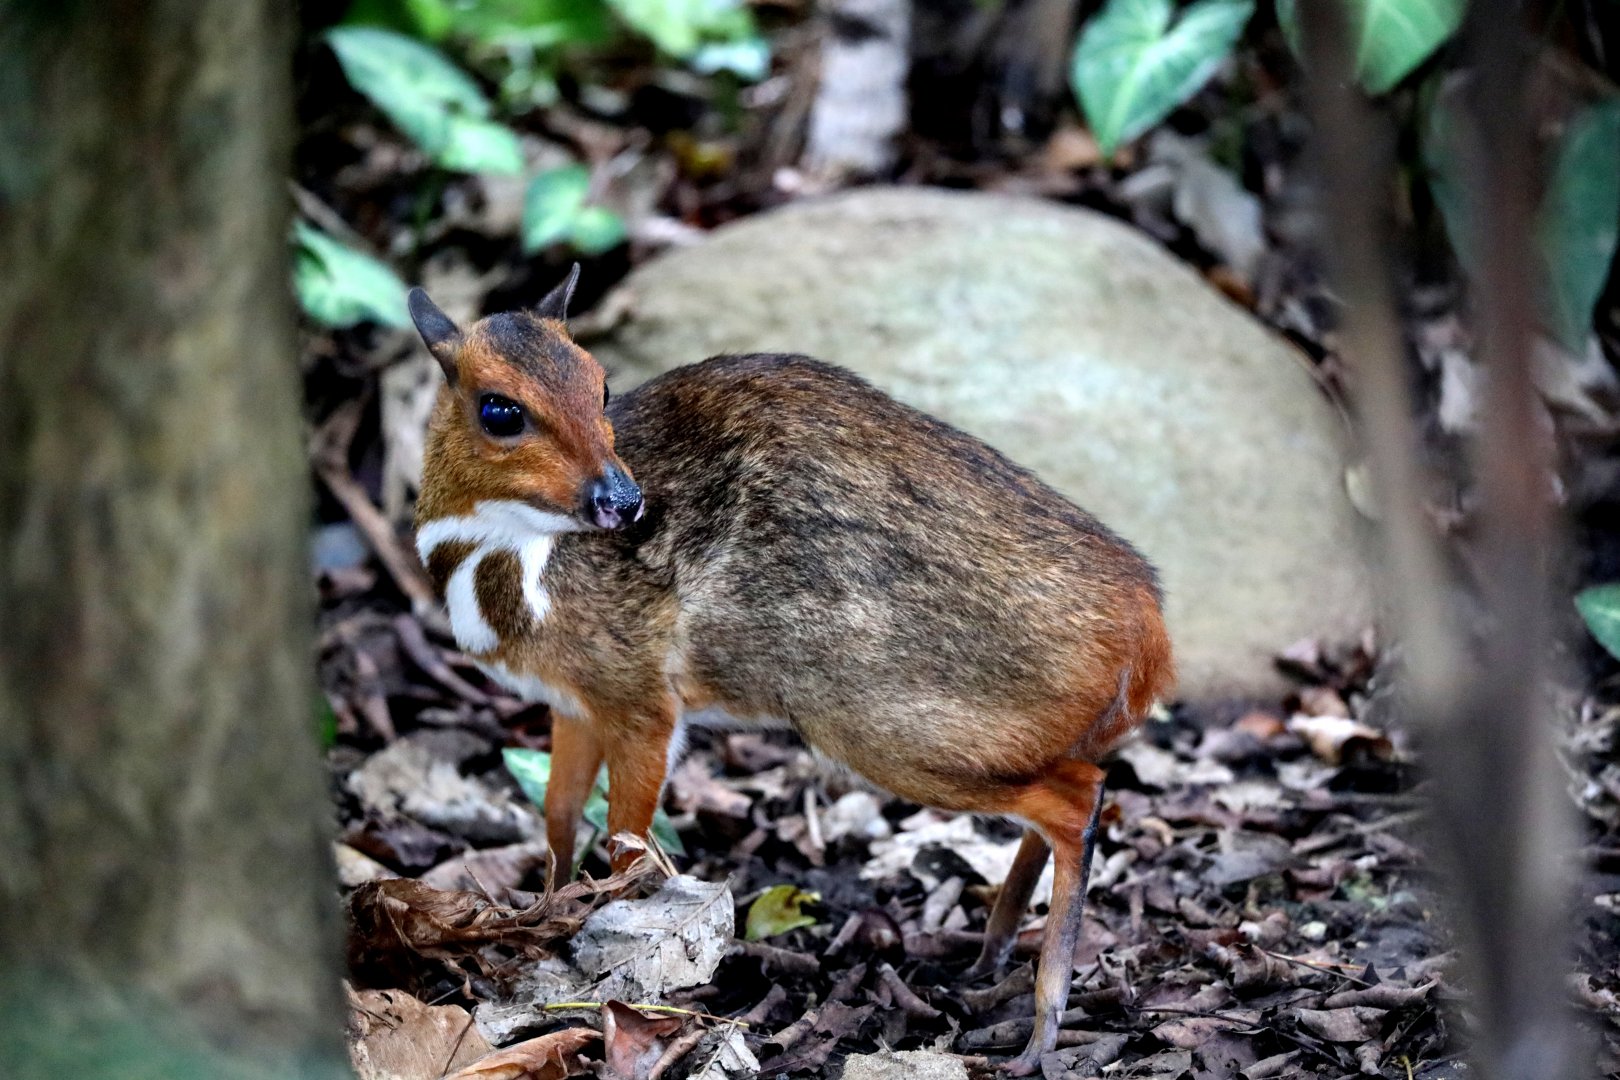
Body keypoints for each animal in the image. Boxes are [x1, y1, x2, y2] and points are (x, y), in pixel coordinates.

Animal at [408, 266, 1173, 1072]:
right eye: (500, 409)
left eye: (602, 384)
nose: (622, 499)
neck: (518, 566)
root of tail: (1149, 629)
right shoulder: (572, 702)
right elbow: (557, 817)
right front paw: (544, 913)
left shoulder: (643, 698)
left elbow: (624, 846)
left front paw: (602, 958)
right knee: (1074, 790)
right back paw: (993, 953)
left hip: (889, 725)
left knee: (1080, 800)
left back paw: (1042, 1025)